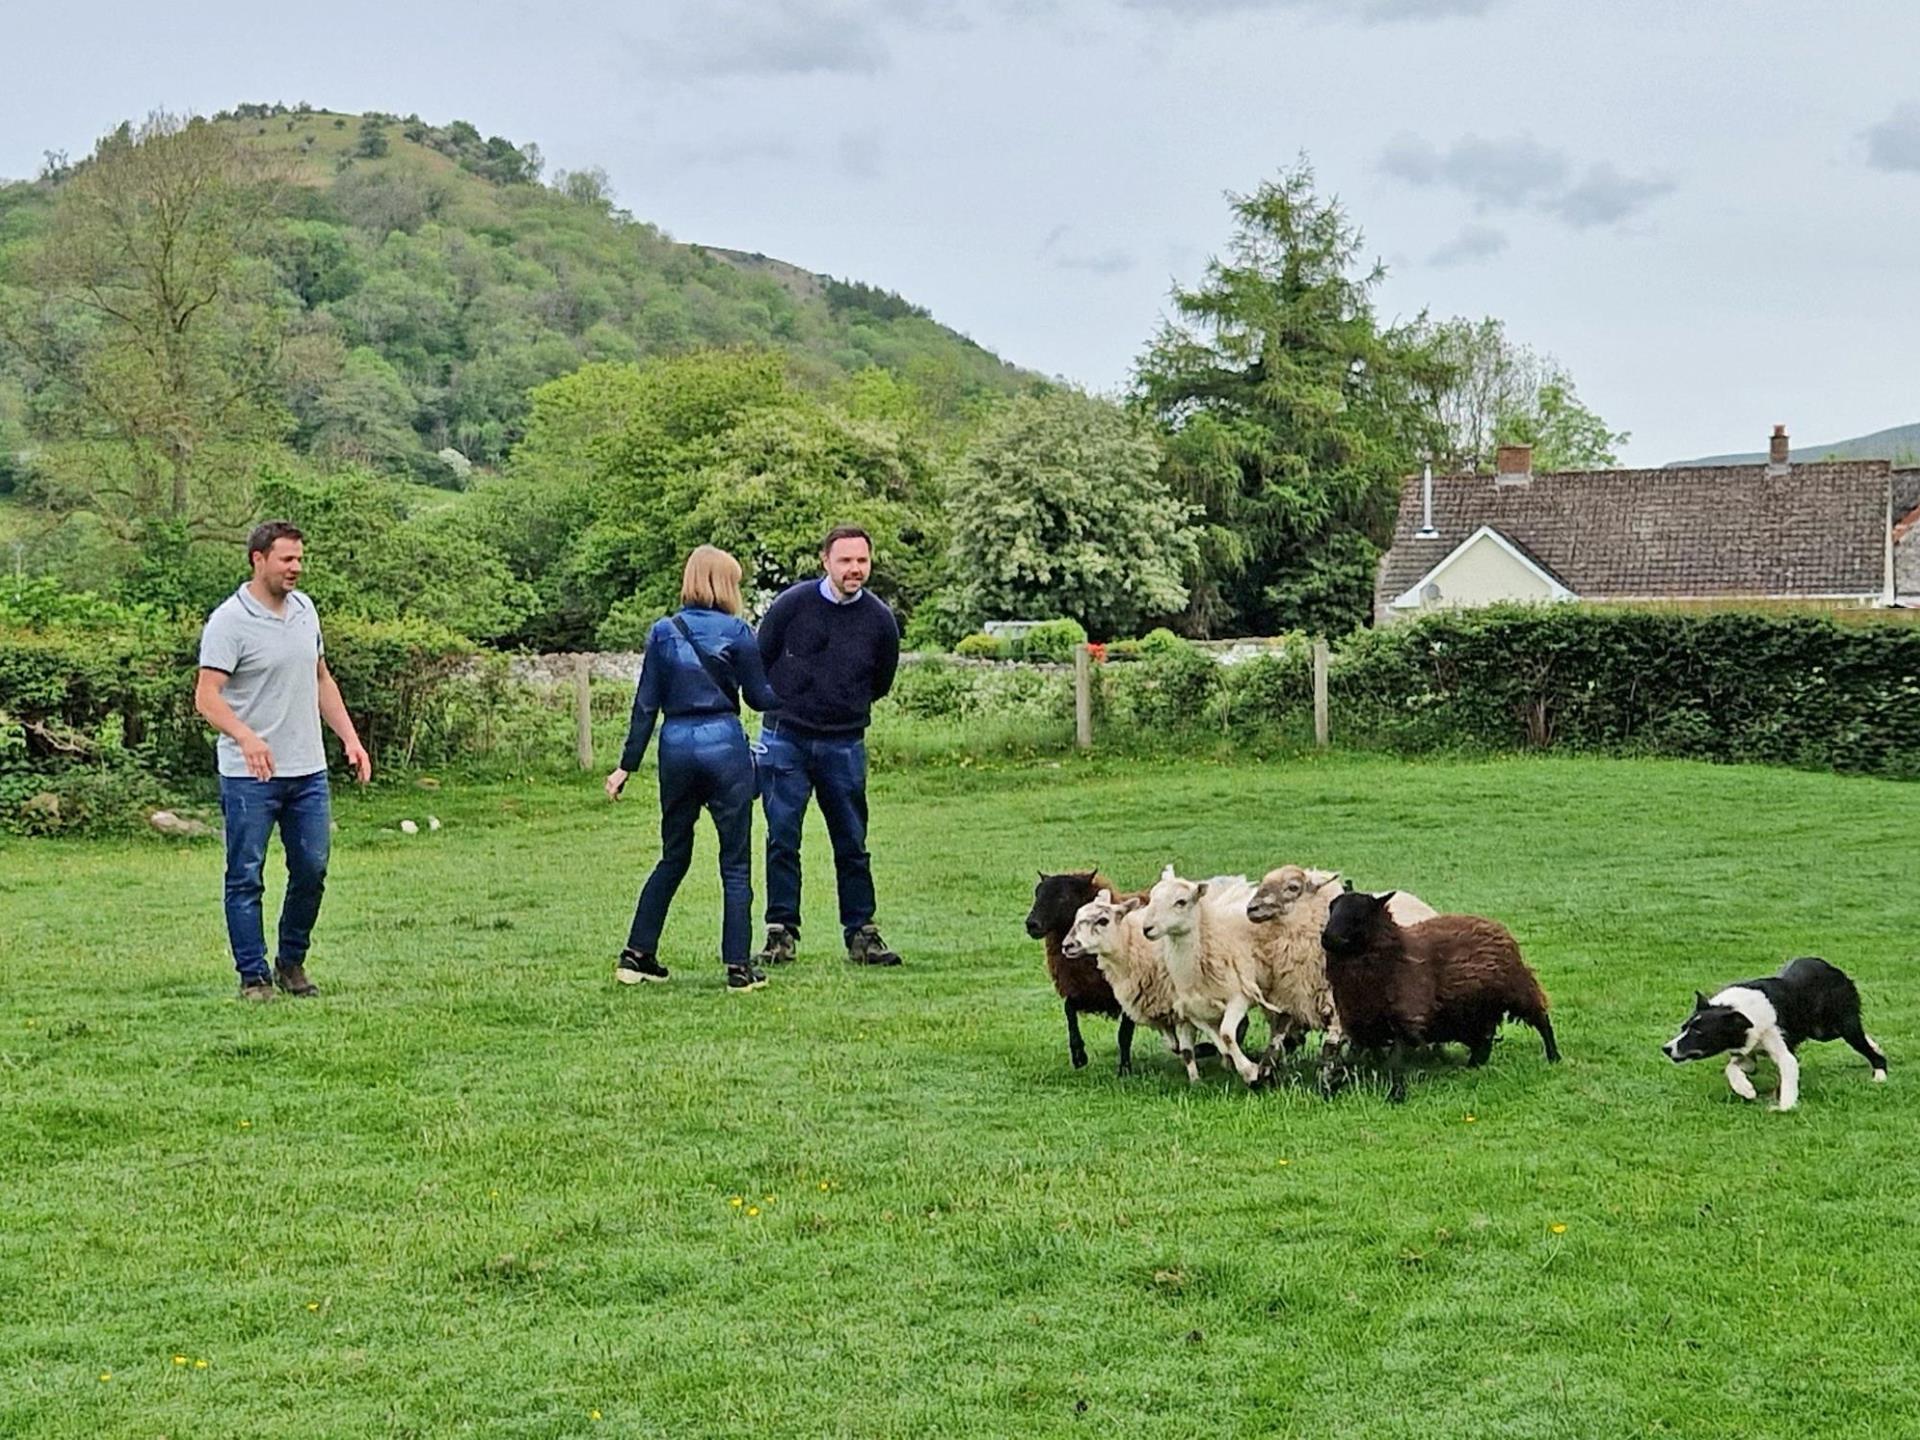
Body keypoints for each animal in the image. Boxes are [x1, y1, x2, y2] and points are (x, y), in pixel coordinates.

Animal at [1320, 890, 1559, 1105]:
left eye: (1361, 912)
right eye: (1331, 908)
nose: (1328, 939)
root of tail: (1492, 924)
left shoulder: (1406, 1018)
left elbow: (1394, 1062)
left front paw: (1396, 1095)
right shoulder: (1360, 1023)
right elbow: (1346, 1060)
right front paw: (1331, 1089)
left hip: (1517, 989)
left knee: (1541, 1019)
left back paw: (1554, 1056)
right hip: (1473, 1011)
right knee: (1486, 1035)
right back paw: (1474, 1065)